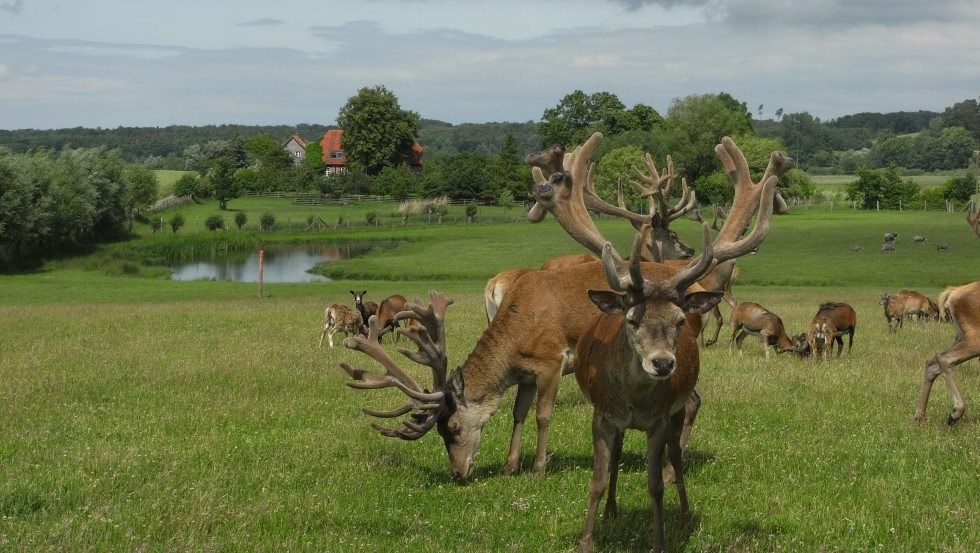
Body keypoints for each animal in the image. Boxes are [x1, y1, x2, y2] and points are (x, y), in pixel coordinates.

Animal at [912, 280, 980, 422]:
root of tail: (955, 291)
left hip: (961, 339)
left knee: (932, 363)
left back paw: (920, 416)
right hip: (975, 342)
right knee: (943, 359)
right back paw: (956, 413)